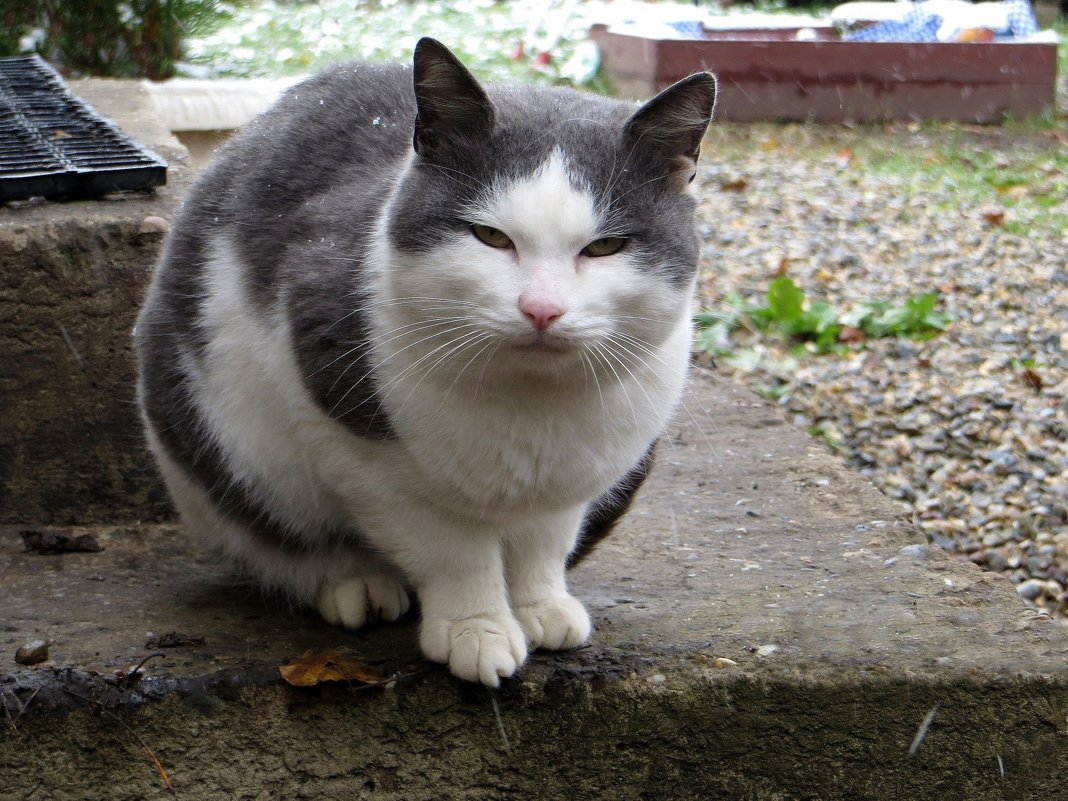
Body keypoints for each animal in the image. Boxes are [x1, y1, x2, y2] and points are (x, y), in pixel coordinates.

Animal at [135, 37, 717, 687]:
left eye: (606, 246)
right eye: (491, 237)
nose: (541, 309)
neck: (530, 409)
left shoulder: (573, 479)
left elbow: (543, 542)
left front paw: (540, 606)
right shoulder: (366, 456)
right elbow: (452, 552)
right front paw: (477, 630)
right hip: (218, 450)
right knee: (275, 540)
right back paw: (353, 583)